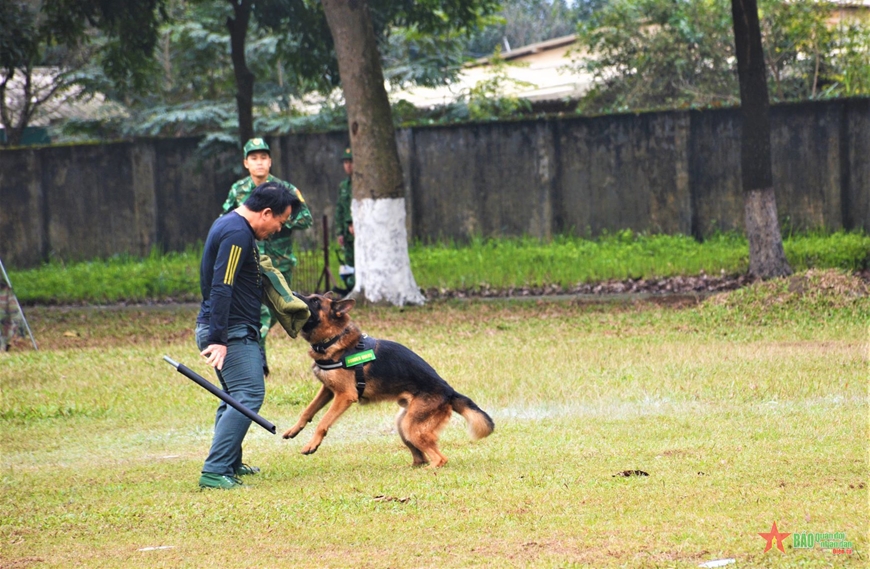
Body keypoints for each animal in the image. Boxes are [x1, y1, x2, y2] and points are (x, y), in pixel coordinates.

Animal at [282, 292, 494, 466]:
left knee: (440, 459)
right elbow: (307, 411)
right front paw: (293, 430)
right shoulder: (327, 390)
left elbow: (323, 422)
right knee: (422, 456)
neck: (334, 338)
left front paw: (312, 444)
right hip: (403, 423)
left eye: (315, 301)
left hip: (411, 426)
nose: (292, 292)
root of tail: (449, 391)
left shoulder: (344, 396)